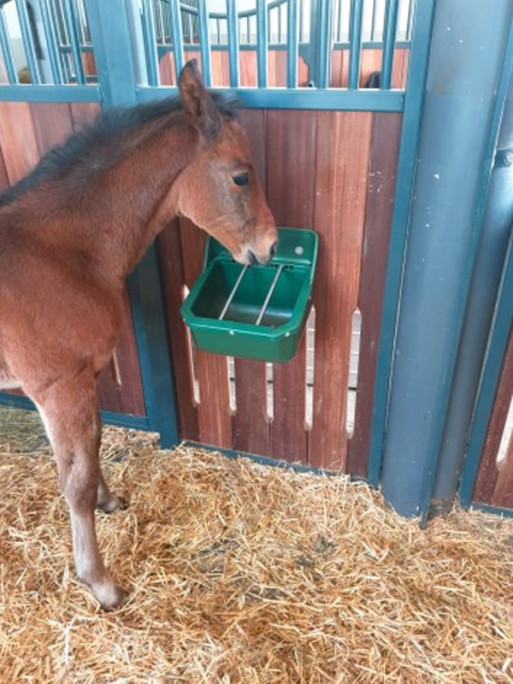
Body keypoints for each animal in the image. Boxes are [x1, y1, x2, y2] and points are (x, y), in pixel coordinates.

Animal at [0, 60, 276, 608]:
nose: (271, 245)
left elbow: (93, 447)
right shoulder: (57, 388)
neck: (60, 254)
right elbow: (74, 480)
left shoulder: (82, 381)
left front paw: (109, 501)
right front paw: (100, 581)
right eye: (241, 175)